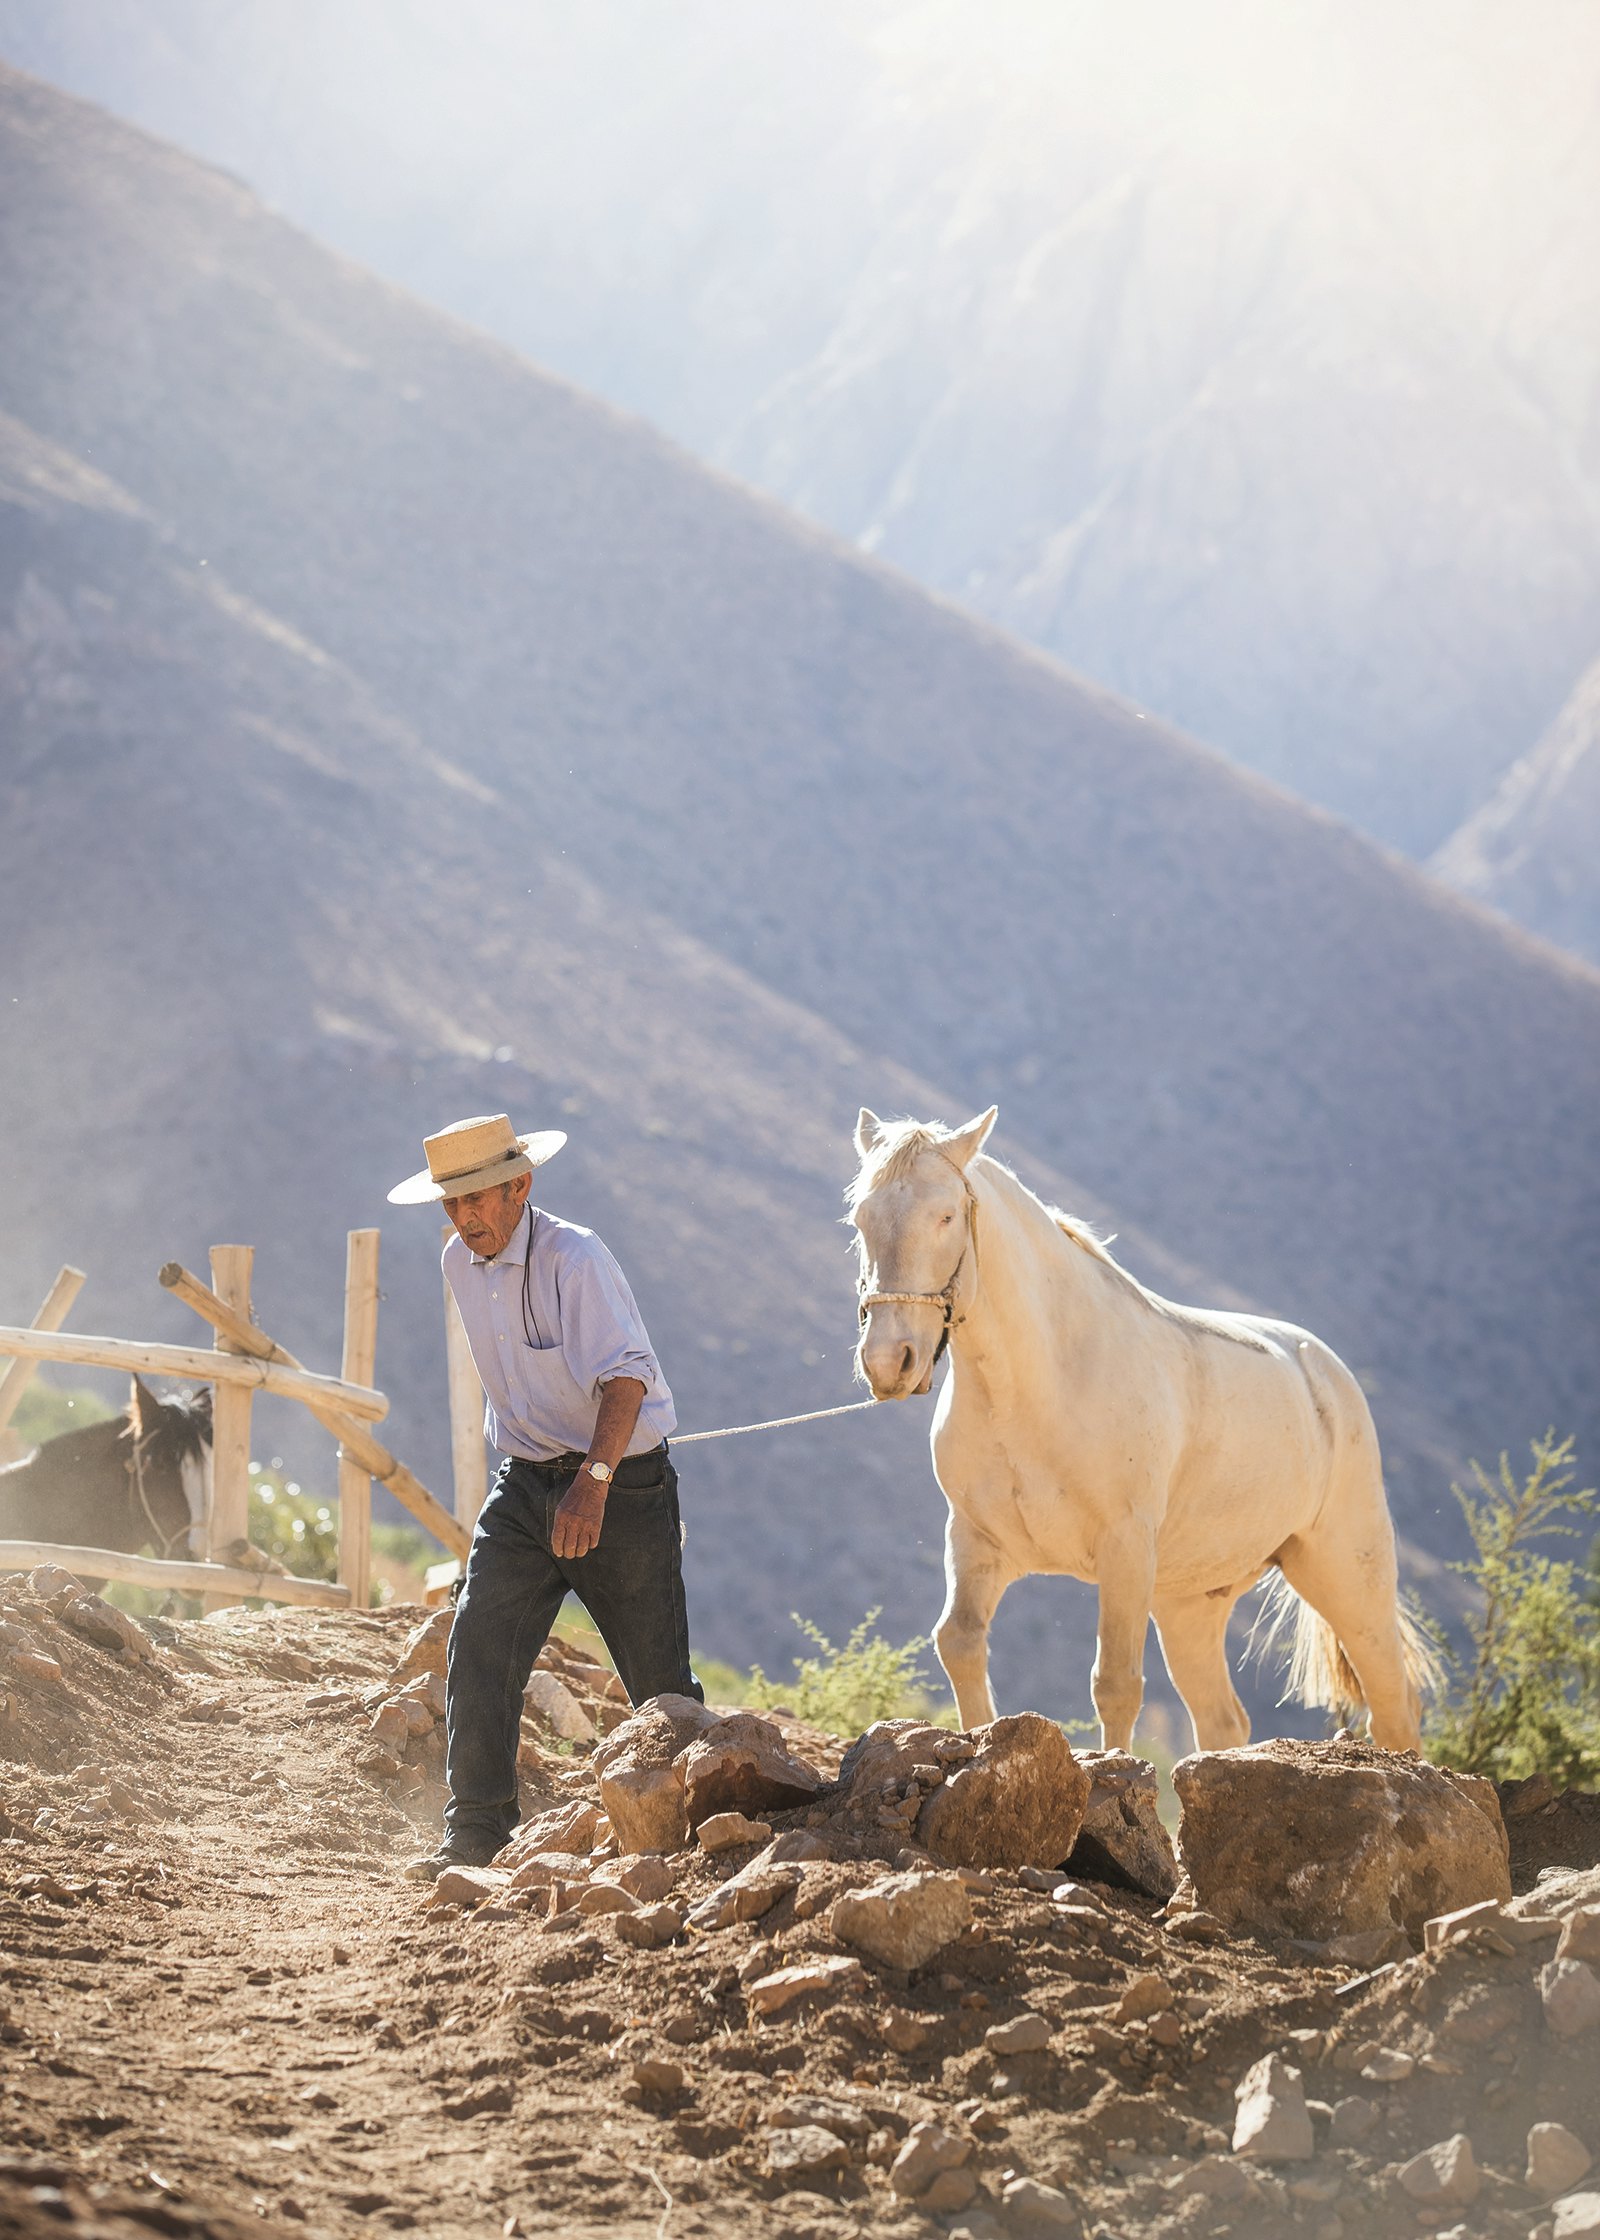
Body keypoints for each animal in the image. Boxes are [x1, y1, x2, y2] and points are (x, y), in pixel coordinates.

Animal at [849, 1106, 1435, 1755]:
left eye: (946, 1215)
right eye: (860, 1217)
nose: (889, 1361)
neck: (1041, 1384)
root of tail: (1327, 1373)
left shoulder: (1125, 1548)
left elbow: (1115, 1685)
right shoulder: (977, 1542)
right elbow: (960, 1643)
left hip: (1347, 1576)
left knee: (1394, 1707)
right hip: (1189, 1605)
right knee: (1224, 1721)